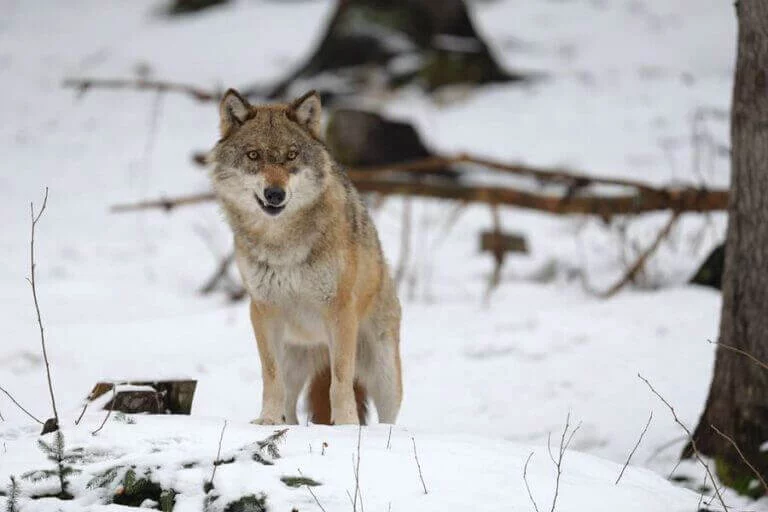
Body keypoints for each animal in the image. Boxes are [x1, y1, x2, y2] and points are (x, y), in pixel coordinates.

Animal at [208, 89, 403, 425]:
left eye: (291, 155)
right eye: (253, 156)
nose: (275, 194)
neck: (283, 243)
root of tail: (318, 344)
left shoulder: (339, 310)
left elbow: (341, 381)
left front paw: (347, 425)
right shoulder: (263, 311)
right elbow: (271, 378)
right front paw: (267, 420)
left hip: (385, 373)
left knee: (388, 418)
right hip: (294, 359)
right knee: (290, 407)